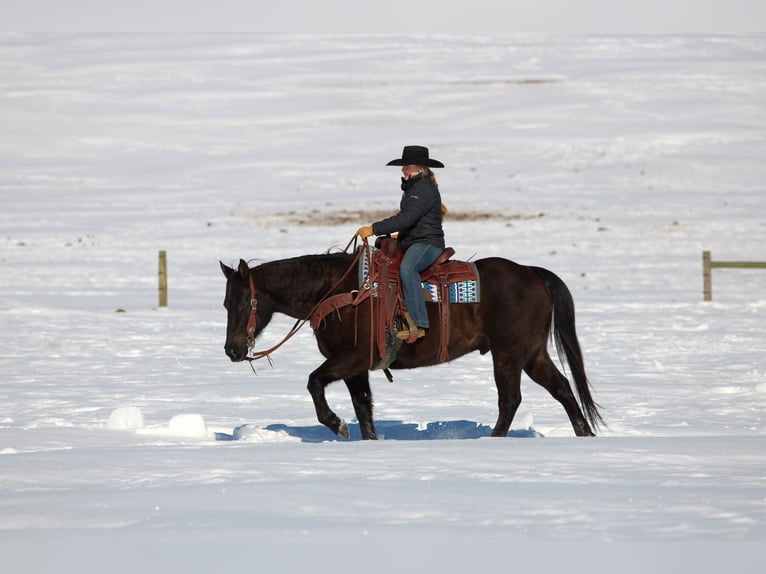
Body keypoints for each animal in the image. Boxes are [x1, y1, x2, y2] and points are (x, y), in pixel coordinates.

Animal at [220, 249, 603, 440]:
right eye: (225, 304)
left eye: (241, 304)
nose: (232, 351)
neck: (339, 292)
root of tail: (532, 273)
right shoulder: (357, 369)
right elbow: (364, 408)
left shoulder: (351, 358)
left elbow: (315, 383)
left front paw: (337, 424)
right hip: (532, 354)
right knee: (563, 389)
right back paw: (585, 435)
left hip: (508, 354)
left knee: (510, 400)